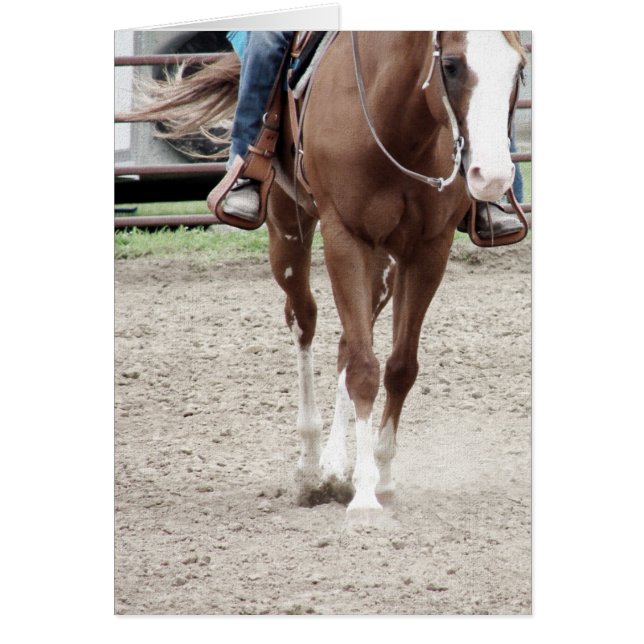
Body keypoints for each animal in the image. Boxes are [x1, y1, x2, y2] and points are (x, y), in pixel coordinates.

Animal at [134, 31, 527, 522]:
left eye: (520, 68)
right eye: (451, 65)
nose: (491, 177)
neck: (398, 120)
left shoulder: (427, 250)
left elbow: (399, 367)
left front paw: (382, 479)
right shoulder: (345, 237)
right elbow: (363, 368)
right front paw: (364, 497)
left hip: (383, 264)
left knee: (348, 340)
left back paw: (338, 464)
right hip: (288, 227)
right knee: (303, 319)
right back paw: (309, 469)